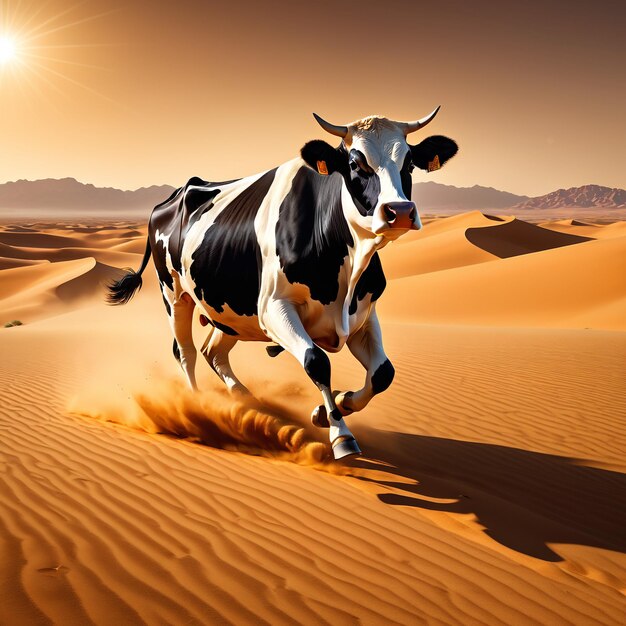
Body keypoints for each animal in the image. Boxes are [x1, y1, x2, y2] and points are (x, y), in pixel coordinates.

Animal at [107, 107, 456, 458]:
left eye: (409, 163)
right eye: (356, 163)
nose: (400, 211)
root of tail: (178, 193)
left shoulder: (363, 313)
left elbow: (383, 373)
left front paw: (332, 407)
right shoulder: (274, 308)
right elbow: (317, 362)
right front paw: (340, 434)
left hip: (230, 311)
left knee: (212, 351)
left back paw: (246, 400)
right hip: (175, 294)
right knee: (186, 351)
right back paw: (199, 408)